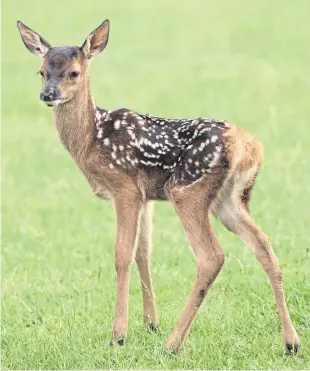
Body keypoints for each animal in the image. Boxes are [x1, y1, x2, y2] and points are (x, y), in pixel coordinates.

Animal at [17, 18, 300, 356]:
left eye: (73, 72)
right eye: (42, 71)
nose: (48, 94)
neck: (91, 140)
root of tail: (249, 145)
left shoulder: (124, 187)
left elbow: (122, 255)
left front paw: (119, 335)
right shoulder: (147, 195)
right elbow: (144, 252)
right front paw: (150, 323)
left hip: (188, 190)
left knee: (212, 256)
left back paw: (173, 344)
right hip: (230, 200)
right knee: (264, 247)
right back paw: (291, 342)